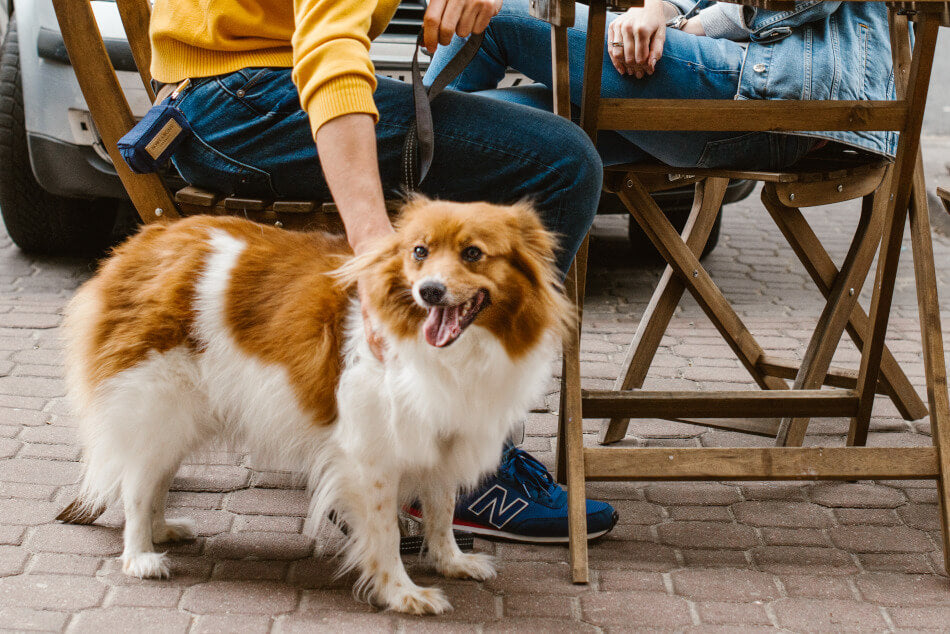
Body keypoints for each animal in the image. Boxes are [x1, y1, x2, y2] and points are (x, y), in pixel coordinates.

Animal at [59, 198, 572, 612]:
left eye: (473, 254)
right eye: (419, 252)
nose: (429, 291)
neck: (456, 352)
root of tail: (141, 244)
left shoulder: (443, 434)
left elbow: (442, 510)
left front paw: (451, 561)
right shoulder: (371, 456)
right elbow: (386, 533)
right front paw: (402, 593)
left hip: (179, 417)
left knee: (156, 479)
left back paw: (162, 530)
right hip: (157, 404)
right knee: (137, 484)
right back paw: (140, 555)